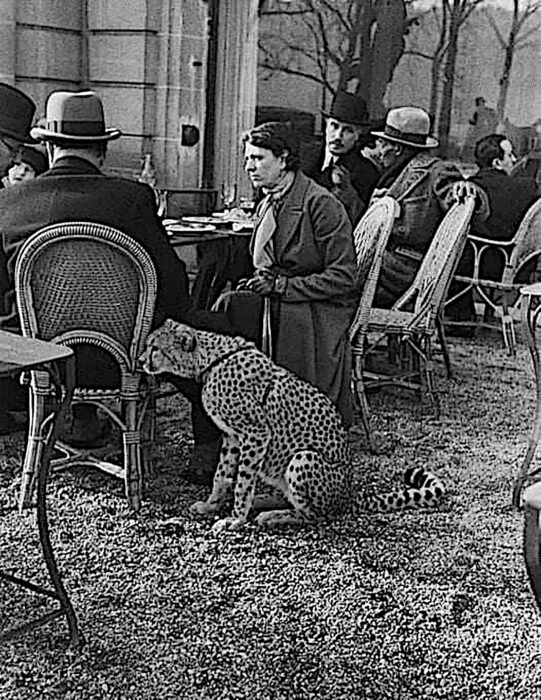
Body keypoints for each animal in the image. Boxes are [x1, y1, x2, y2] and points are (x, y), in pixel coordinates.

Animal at [140, 318, 448, 532]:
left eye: (154, 348)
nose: (141, 360)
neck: (212, 360)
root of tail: (349, 495)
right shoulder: (232, 437)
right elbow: (223, 474)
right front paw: (211, 504)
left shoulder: (255, 433)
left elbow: (243, 480)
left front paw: (236, 519)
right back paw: (263, 501)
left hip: (303, 458)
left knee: (313, 515)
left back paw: (272, 515)